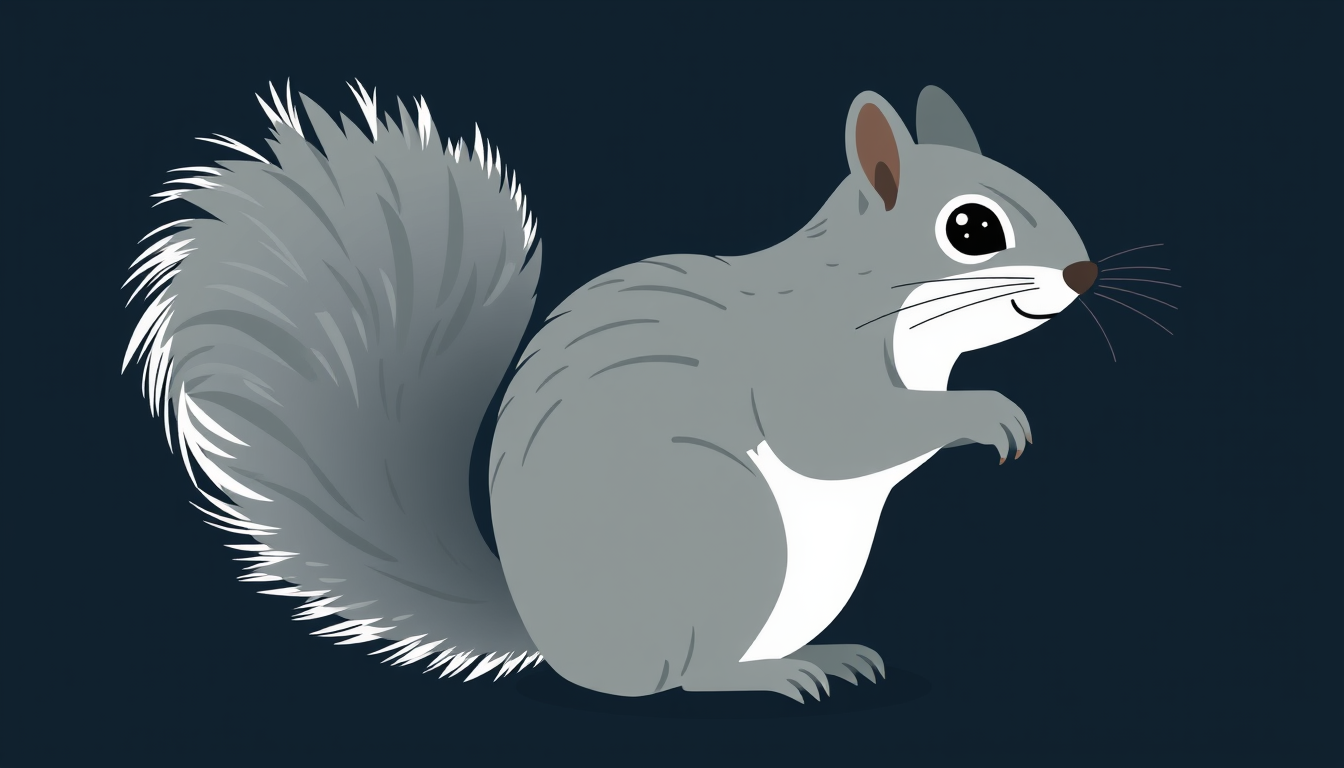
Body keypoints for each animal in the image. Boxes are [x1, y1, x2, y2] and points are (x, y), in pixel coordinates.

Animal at [123, 81, 1097, 703]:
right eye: (971, 228)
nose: (1085, 274)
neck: (882, 302)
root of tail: (557, 644)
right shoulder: (807, 362)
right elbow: (834, 436)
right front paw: (987, 414)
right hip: (725, 527)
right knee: (684, 680)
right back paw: (772, 674)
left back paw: (830, 653)